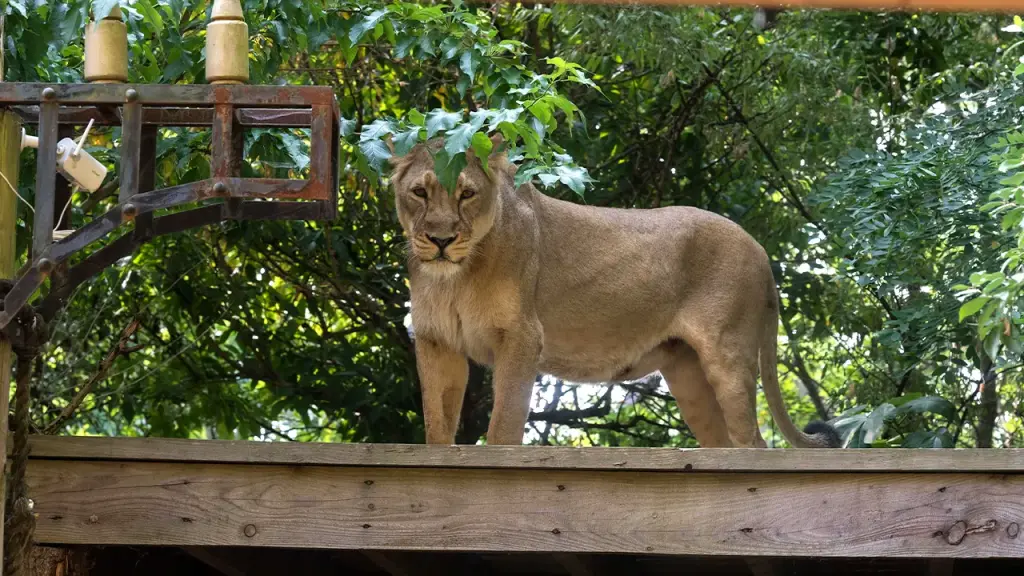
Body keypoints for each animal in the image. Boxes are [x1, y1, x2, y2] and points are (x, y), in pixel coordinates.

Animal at [389, 134, 840, 449]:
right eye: (420, 192)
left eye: (466, 193)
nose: (441, 240)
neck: (455, 279)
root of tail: (760, 250)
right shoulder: (436, 341)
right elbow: (436, 424)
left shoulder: (521, 336)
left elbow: (503, 425)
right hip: (688, 373)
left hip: (727, 356)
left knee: (755, 445)